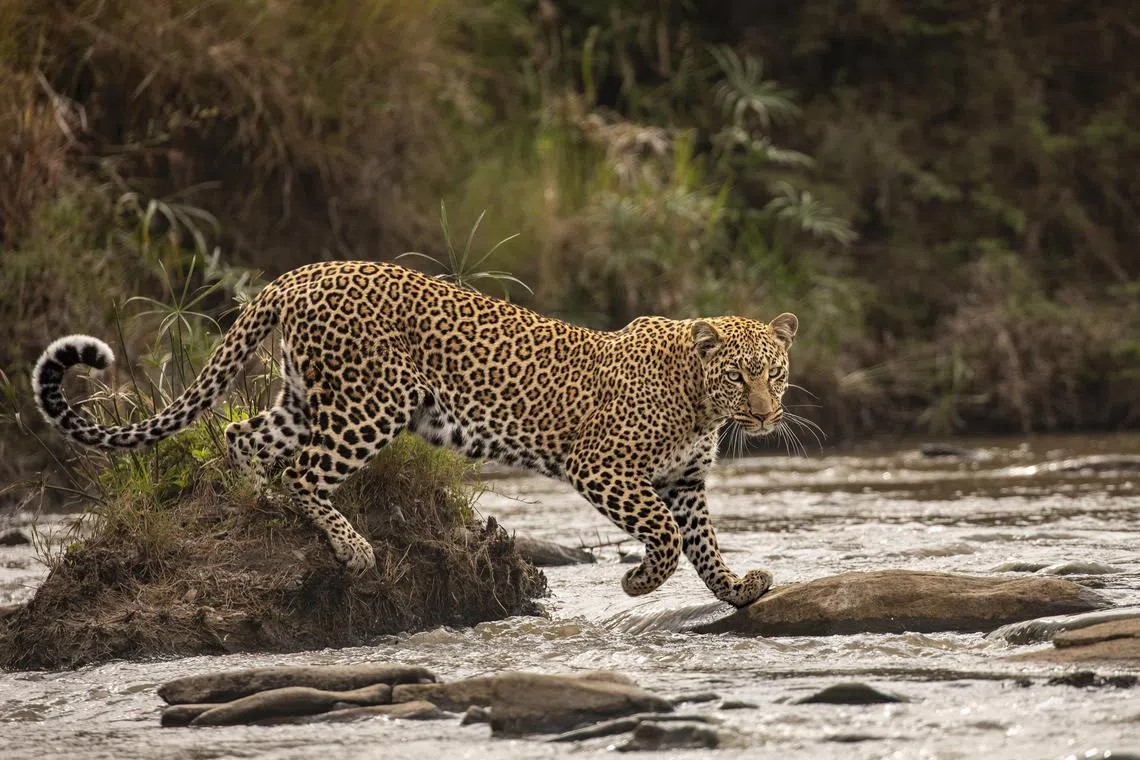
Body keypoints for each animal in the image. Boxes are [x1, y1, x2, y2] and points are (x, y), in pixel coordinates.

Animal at [32, 261, 799, 607]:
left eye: (776, 373)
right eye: (739, 376)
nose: (766, 415)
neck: (700, 402)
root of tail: (299, 274)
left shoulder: (684, 480)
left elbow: (702, 542)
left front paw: (738, 588)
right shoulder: (602, 466)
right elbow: (666, 536)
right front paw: (639, 582)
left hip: (306, 398)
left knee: (243, 436)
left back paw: (256, 508)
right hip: (371, 404)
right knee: (303, 471)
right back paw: (352, 548)